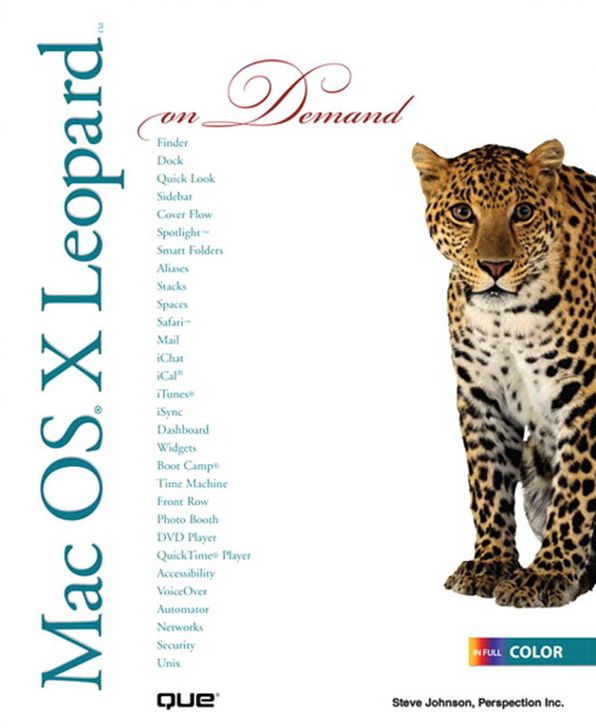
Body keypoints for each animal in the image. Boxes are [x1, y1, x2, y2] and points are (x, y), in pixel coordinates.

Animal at [413, 139, 596, 607]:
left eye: (523, 211)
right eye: (463, 212)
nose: (495, 266)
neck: (509, 317)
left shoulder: (584, 394)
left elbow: (575, 490)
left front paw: (549, 573)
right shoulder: (481, 395)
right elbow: (487, 484)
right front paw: (492, 565)